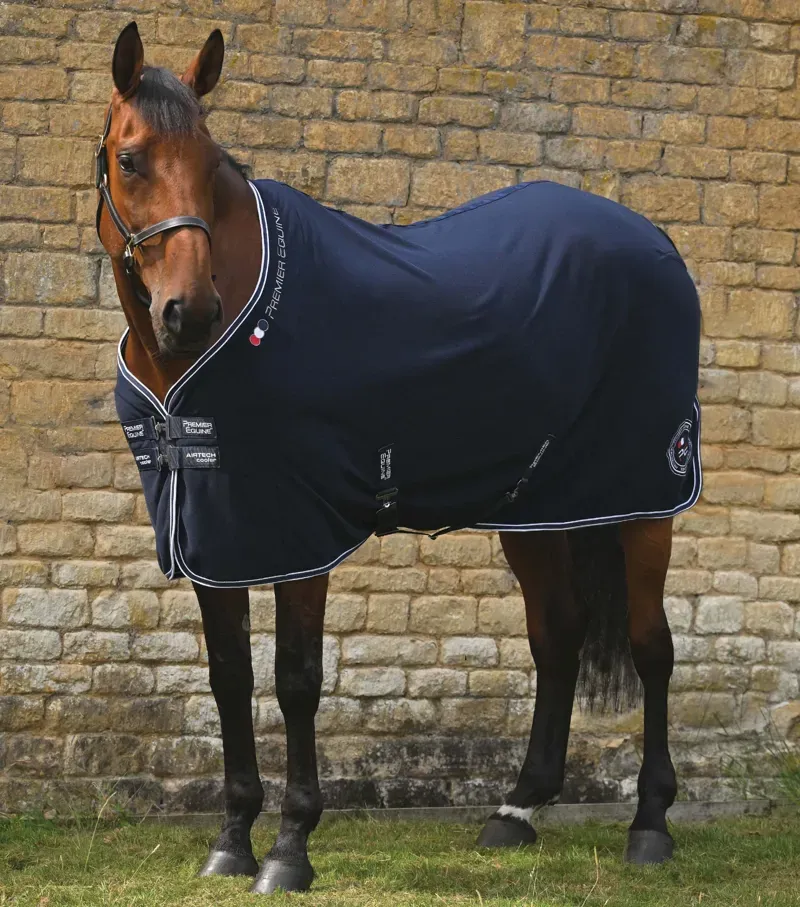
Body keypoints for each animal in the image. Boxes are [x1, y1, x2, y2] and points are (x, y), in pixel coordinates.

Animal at [96, 21, 701, 895]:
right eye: (131, 158)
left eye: (210, 163)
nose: (190, 311)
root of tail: (655, 241)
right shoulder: (215, 532)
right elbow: (229, 675)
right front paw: (231, 840)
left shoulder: (297, 533)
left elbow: (297, 680)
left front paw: (290, 847)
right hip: (537, 508)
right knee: (558, 633)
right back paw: (515, 809)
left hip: (648, 495)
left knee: (653, 645)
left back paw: (650, 823)